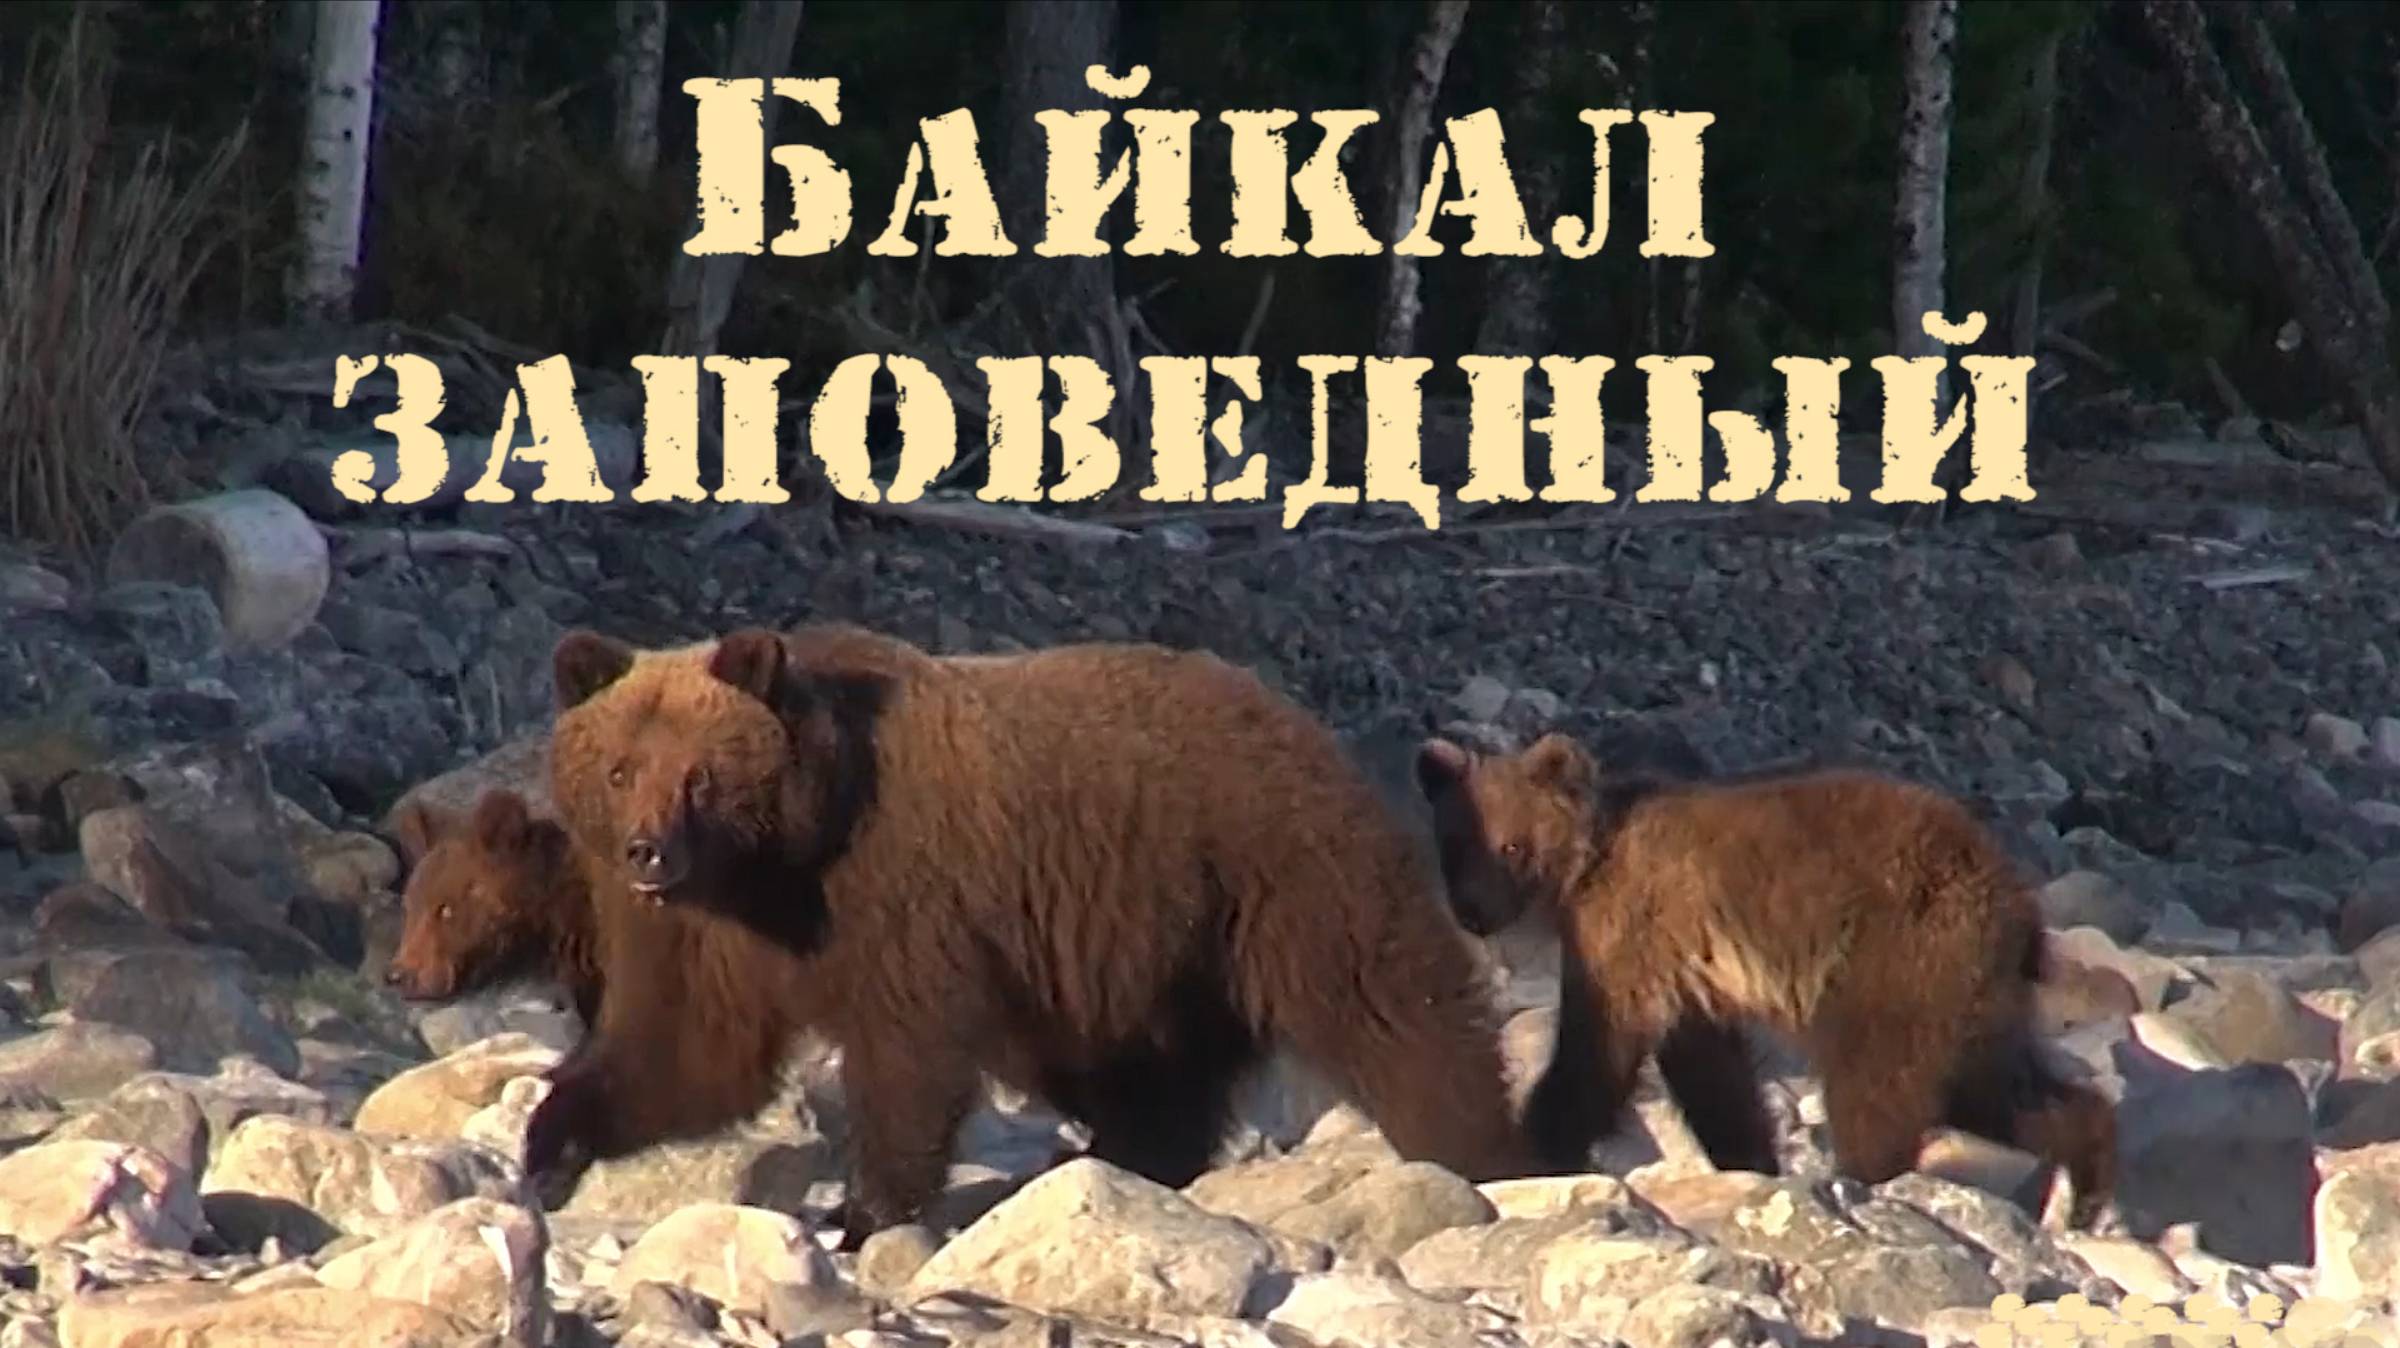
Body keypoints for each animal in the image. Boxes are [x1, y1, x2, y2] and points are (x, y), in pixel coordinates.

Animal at [520, 622, 1533, 1248]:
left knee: (1387, 999)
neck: (775, 860)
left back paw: (1480, 1149)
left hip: (1272, 868)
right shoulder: (706, 934)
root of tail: (1293, 710)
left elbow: (907, 1052)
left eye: (700, 775)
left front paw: (865, 1212)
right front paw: (549, 1145)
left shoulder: (891, 892)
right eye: (620, 768)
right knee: (1137, 1071)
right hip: (1126, 954)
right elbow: (687, 1052)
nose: (649, 852)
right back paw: (1121, 1156)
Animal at [1413, 730, 2117, 1229]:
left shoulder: (1628, 934)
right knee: (1994, 1089)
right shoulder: (1687, 977)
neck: (1584, 867)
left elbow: (1597, 1050)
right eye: (1454, 844)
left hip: (1898, 956)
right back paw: (2086, 1179)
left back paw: (1870, 1176)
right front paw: (1749, 1159)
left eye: (1511, 845)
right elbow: (1712, 1077)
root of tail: (2020, 905)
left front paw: (1537, 1143)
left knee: (1878, 1086)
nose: (1473, 912)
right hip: (1968, 991)